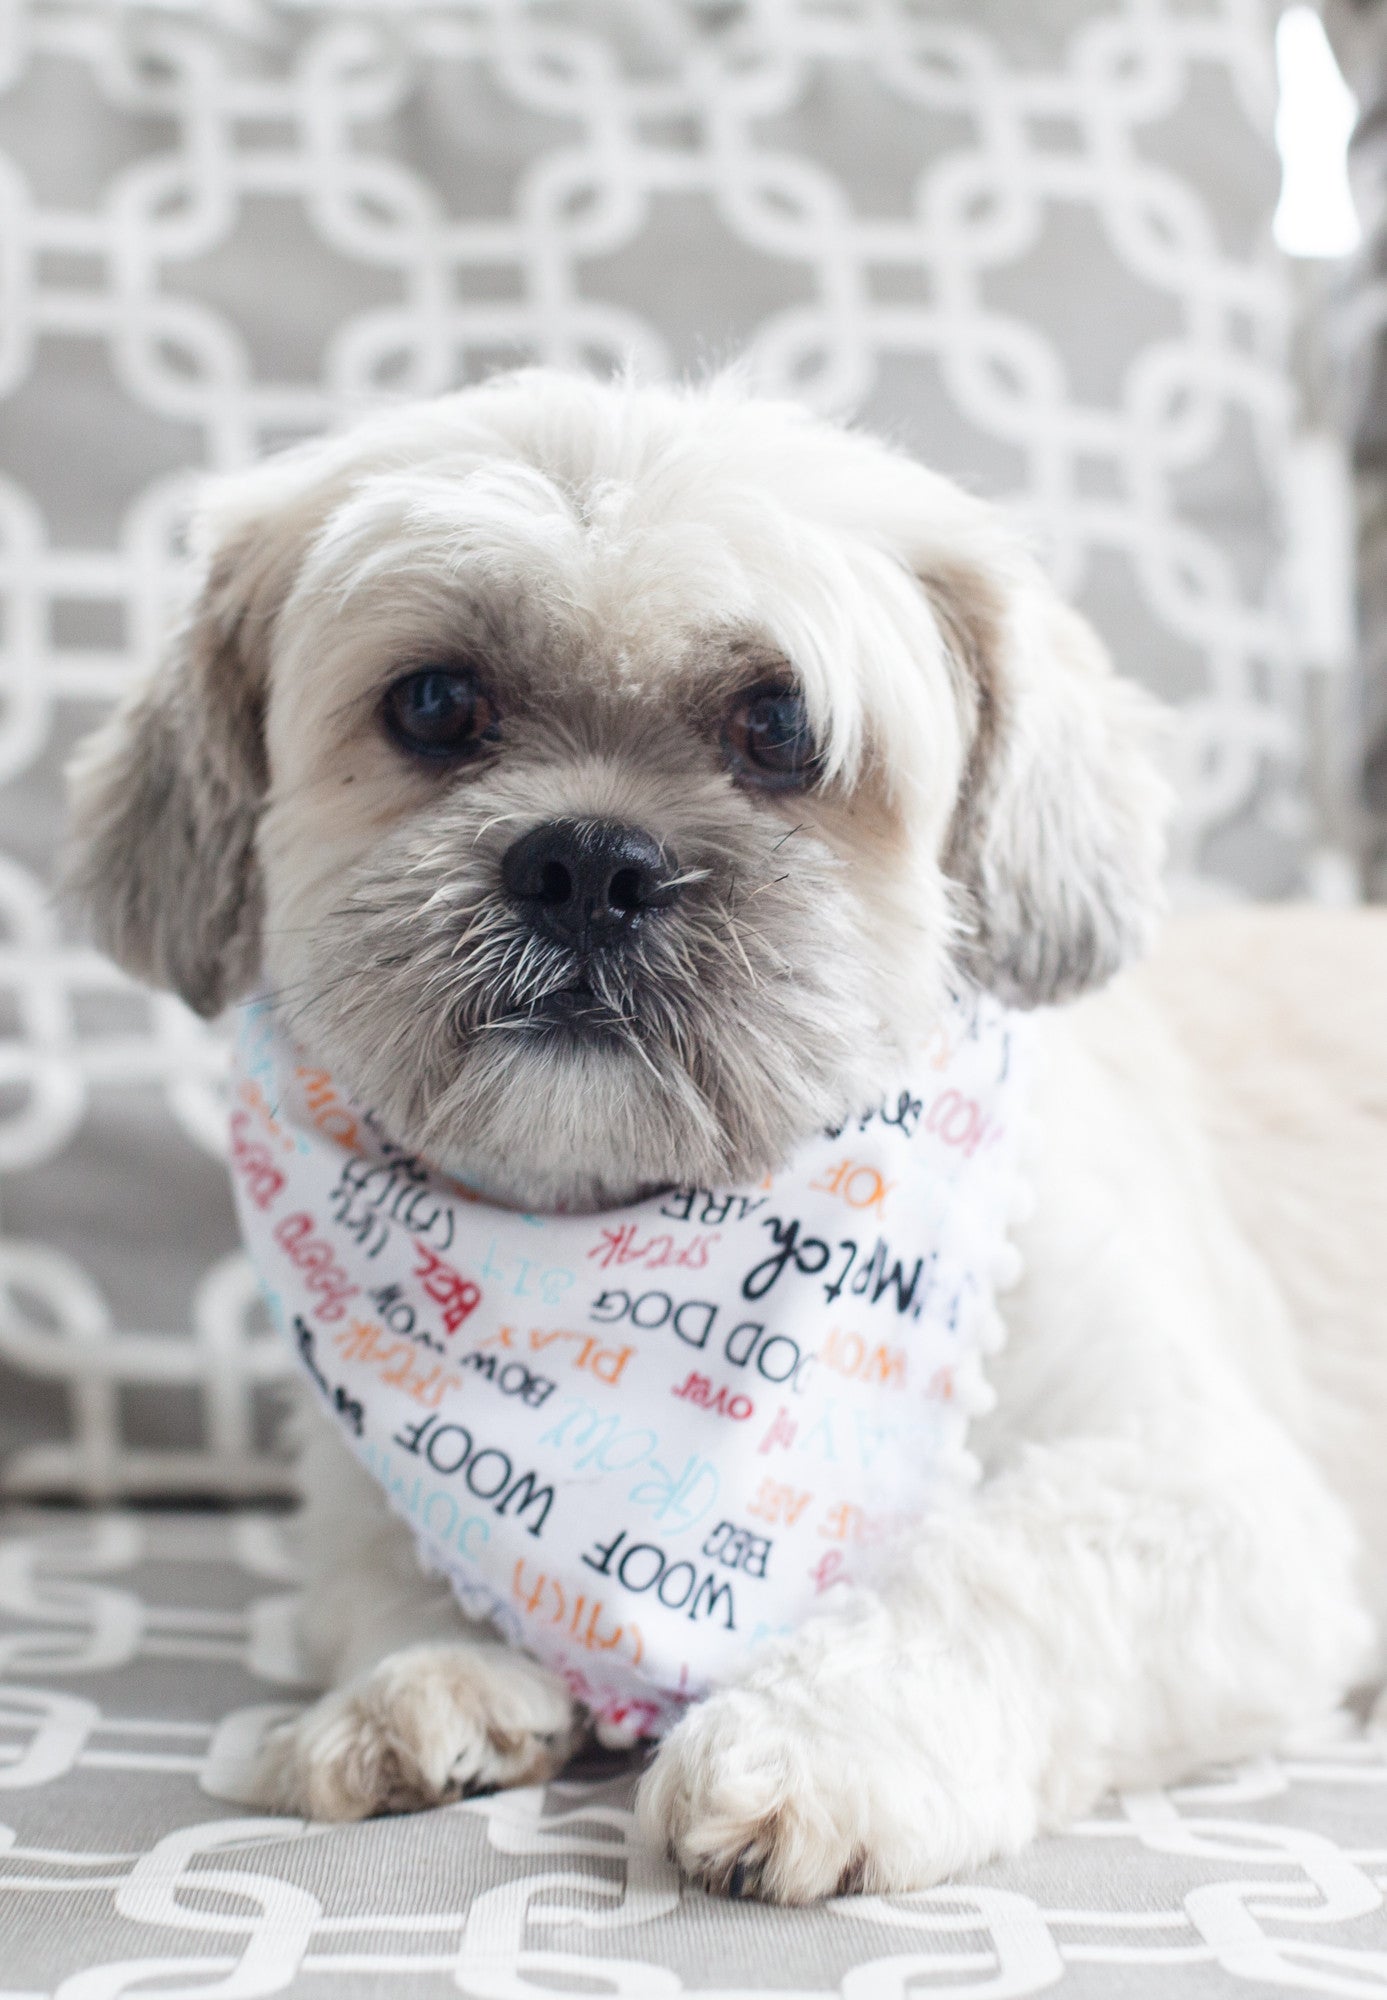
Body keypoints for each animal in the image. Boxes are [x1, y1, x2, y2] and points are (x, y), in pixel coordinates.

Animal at [64, 372, 1387, 1904]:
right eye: (434, 704)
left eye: (781, 728)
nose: (586, 861)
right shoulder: (350, 1492)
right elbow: (382, 1580)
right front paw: (419, 1681)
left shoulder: (1211, 1500)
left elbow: (998, 1574)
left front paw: (813, 1740)